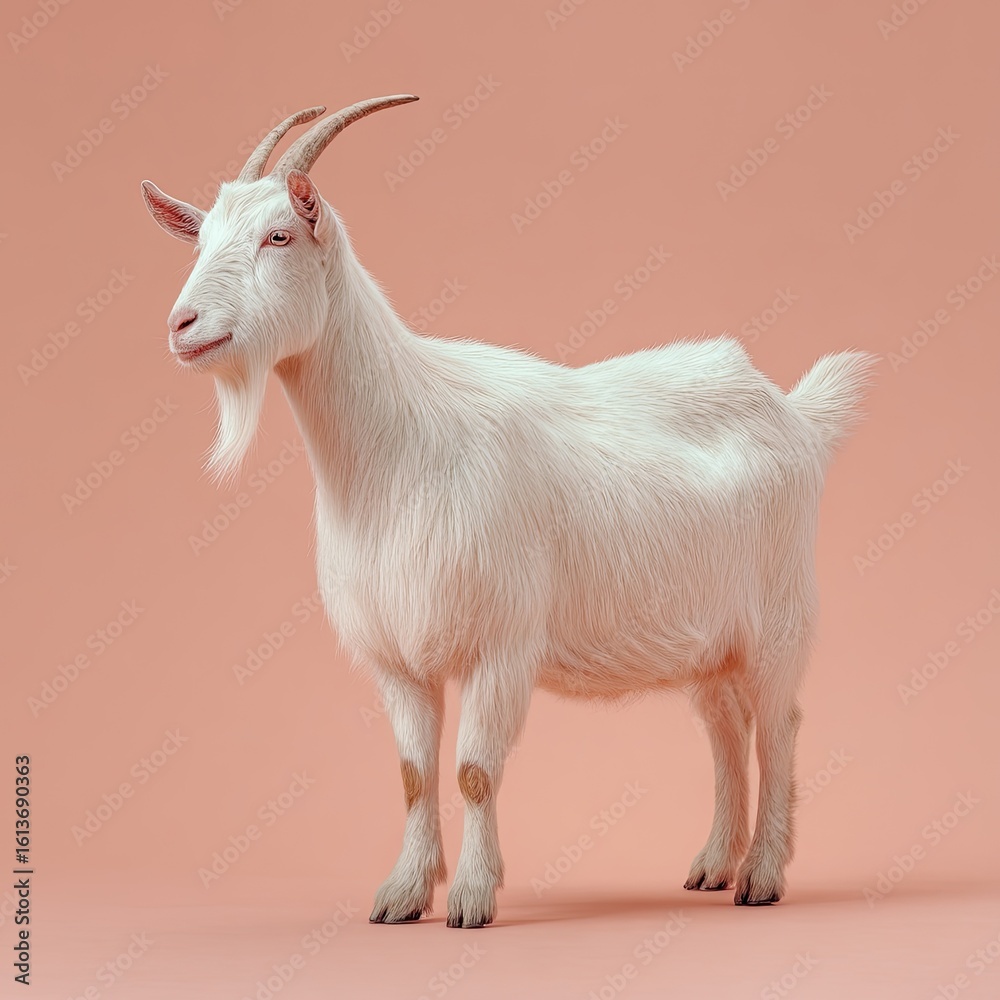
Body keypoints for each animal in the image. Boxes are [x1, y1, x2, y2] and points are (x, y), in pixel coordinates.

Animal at [141, 97, 875, 927]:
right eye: (201, 238)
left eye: (279, 236)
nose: (182, 325)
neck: (398, 448)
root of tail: (798, 414)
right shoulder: (397, 657)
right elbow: (412, 775)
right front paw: (403, 893)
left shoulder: (501, 644)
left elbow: (473, 772)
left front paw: (469, 898)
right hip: (706, 638)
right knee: (725, 729)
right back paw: (715, 865)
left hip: (779, 619)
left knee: (777, 728)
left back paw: (762, 876)